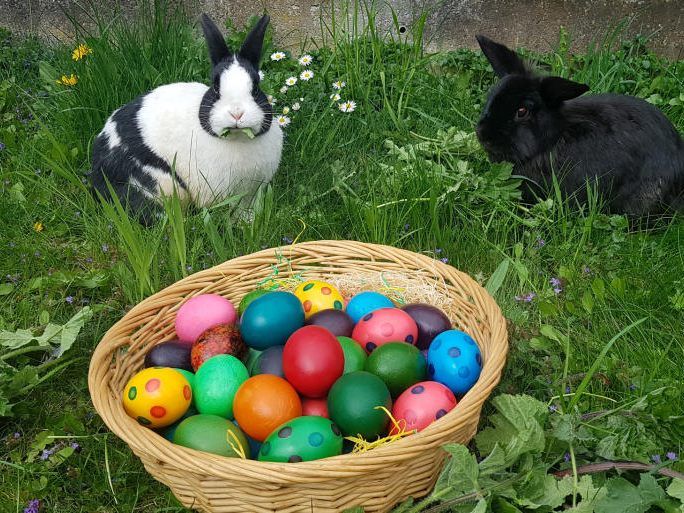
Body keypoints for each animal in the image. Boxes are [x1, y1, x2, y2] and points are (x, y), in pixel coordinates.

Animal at [88, 13, 280, 222]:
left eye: (256, 88)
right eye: (216, 88)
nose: (237, 113)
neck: (238, 139)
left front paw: (250, 221)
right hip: (160, 186)